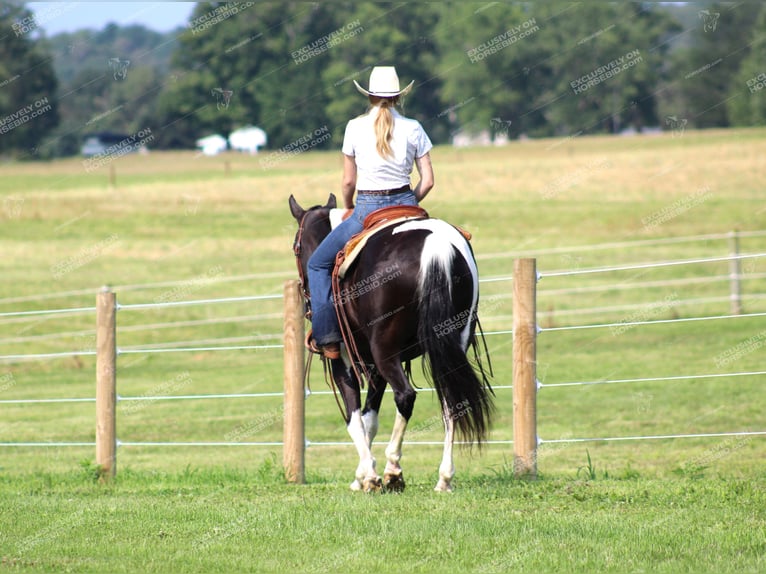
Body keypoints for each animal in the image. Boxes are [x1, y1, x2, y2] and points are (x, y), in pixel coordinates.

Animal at [286, 196, 492, 492]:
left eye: (296, 246)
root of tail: (436, 245)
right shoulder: (373, 366)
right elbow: (370, 419)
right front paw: (361, 475)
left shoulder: (346, 360)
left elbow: (355, 418)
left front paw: (367, 476)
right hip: (453, 343)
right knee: (451, 403)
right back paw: (444, 478)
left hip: (385, 351)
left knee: (405, 396)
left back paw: (393, 470)